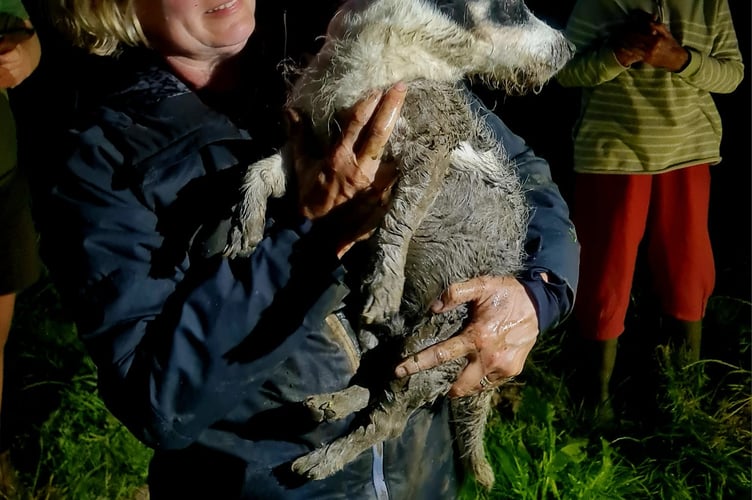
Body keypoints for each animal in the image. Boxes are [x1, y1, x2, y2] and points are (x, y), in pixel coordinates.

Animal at [223, 0, 568, 488]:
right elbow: (262, 169)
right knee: (377, 381)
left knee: (390, 416)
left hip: (435, 344)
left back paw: (315, 461)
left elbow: (398, 217)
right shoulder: (310, 146)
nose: (568, 48)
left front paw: (382, 290)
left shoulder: (430, 143)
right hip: (403, 346)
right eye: (514, 8)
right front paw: (243, 233)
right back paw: (325, 405)